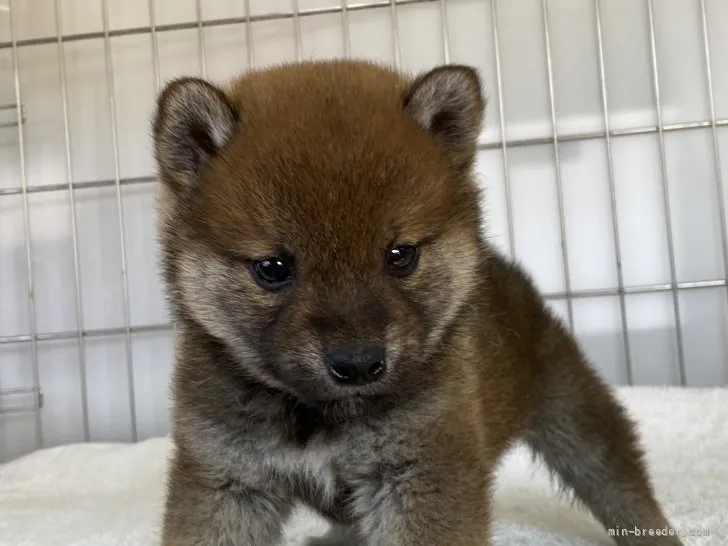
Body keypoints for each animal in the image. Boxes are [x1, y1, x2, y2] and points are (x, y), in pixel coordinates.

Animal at [154, 59, 684, 544]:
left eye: (400, 255)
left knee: (619, 483)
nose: (358, 364)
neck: (320, 418)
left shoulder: (423, 468)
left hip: (572, 409)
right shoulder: (225, 479)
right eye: (273, 268)